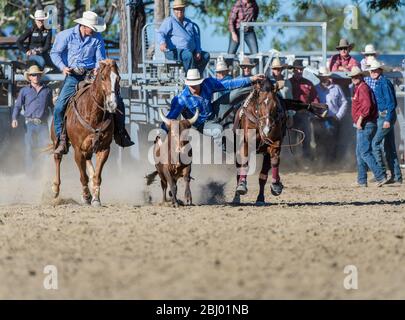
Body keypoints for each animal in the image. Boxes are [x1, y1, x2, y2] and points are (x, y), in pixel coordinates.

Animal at [50, 58, 120, 206]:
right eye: (103, 77)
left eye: (118, 78)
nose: (112, 105)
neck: (93, 113)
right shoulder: (78, 150)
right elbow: (83, 177)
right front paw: (87, 196)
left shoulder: (104, 148)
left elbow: (97, 176)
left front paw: (96, 198)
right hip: (56, 140)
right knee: (57, 158)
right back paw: (55, 189)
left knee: (90, 166)